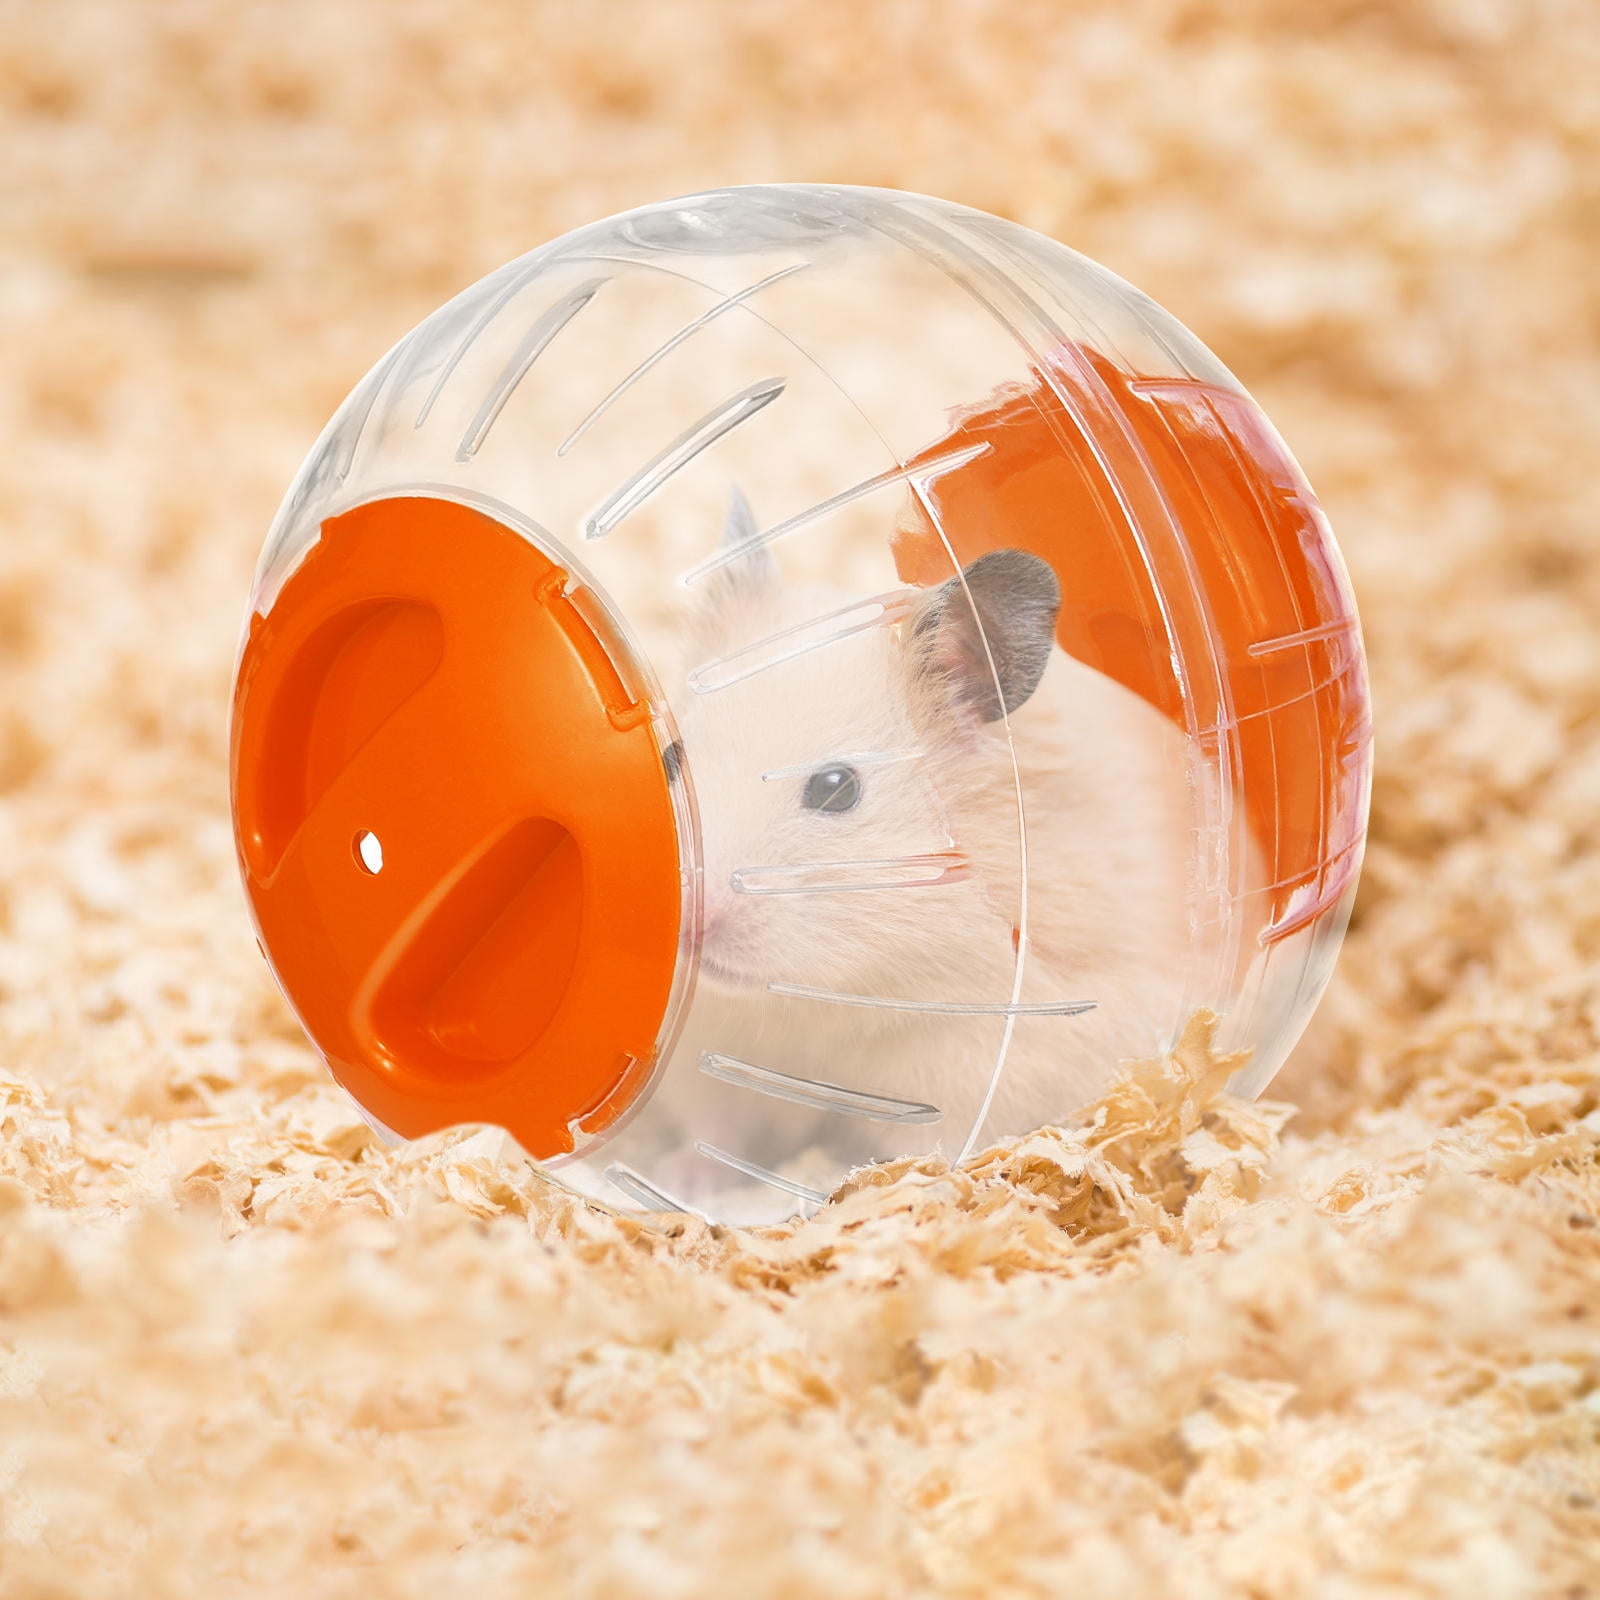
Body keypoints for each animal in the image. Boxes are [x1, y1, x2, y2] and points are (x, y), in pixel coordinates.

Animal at [651, 488, 1202, 1182]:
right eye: (672, 757)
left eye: (836, 787)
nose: (690, 921)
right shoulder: (708, 1040)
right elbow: (716, 1119)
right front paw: (682, 1175)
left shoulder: (999, 1055)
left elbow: (942, 1148)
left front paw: (865, 1184)